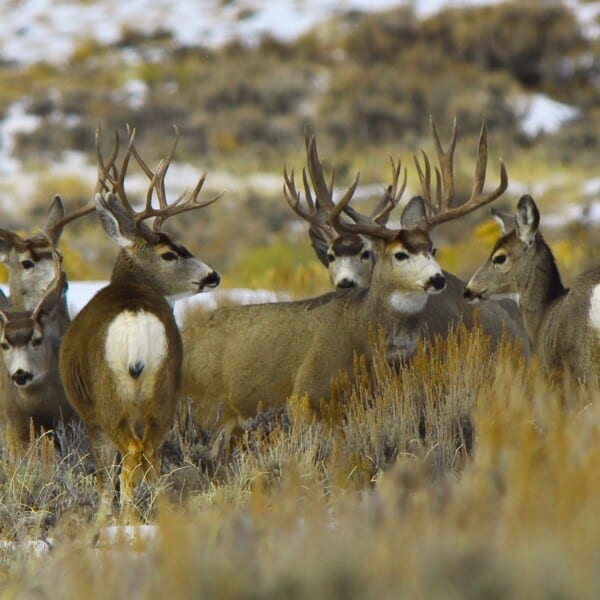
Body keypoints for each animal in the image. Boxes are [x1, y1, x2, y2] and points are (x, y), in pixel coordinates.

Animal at [59, 125, 220, 516]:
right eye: (170, 253)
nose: (213, 276)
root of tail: (135, 318)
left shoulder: (88, 415)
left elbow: (105, 480)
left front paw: (101, 522)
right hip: (164, 387)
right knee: (151, 454)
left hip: (108, 397)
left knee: (132, 455)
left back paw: (128, 518)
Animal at [180, 141, 448, 460]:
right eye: (400, 254)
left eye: (433, 248)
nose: (438, 279)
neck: (364, 330)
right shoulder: (307, 393)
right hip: (202, 407)